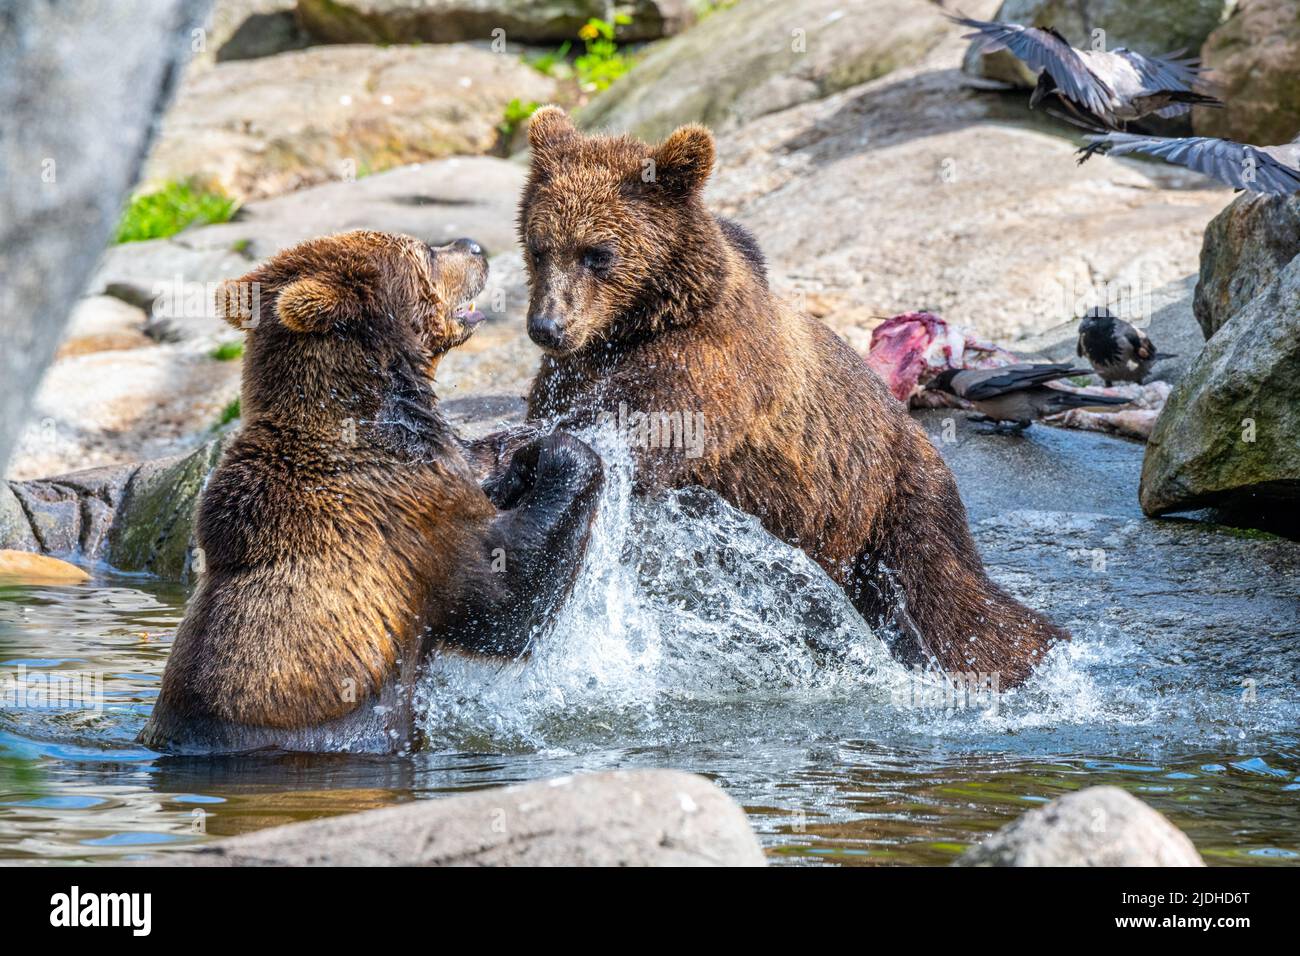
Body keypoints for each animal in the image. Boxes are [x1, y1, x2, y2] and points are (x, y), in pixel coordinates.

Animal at [139, 231, 605, 754]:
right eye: (425, 251)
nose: (473, 245)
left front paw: (520, 451)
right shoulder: (408, 524)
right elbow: (506, 602)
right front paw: (563, 449)